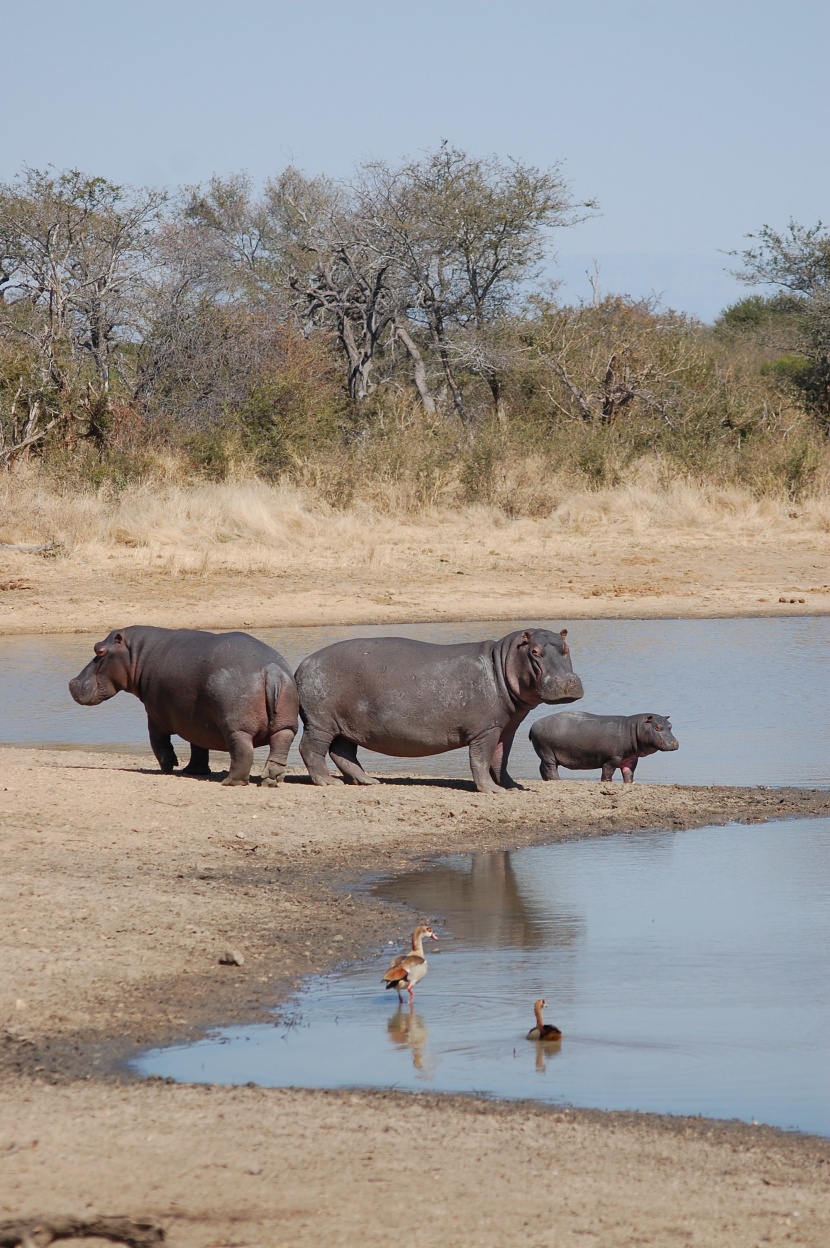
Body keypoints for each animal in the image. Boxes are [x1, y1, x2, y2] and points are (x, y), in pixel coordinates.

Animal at [68, 628, 298, 783]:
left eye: (99, 650)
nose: (72, 683)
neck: (137, 653)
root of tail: (271, 670)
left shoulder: (155, 713)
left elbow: (159, 742)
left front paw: (168, 768)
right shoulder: (198, 722)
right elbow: (198, 747)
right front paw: (193, 771)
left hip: (236, 728)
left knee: (243, 752)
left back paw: (231, 782)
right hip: (285, 725)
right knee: (280, 746)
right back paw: (271, 780)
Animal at [295, 628, 581, 793]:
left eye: (567, 648)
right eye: (535, 651)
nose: (567, 681)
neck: (501, 662)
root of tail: (303, 664)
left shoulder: (507, 727)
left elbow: (501, 758)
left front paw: (513, 786)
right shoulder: (486, 729)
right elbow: (481, 759)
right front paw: (492, 791)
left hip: (348, 725)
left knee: (342, 752)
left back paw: (369, 781)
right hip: (321, 723)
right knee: (311, 749)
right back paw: (329, 783)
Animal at [526, 713, 678, 778]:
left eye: (670, 725)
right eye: (657, 727)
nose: (675, 743)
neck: (633, 728)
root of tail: (533, 725)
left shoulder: (630, 759)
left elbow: (629, 774)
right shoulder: (612, 759)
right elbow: (607, 773)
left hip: (545, 755)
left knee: (542, 768)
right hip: (548, 753)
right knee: (550, 769)